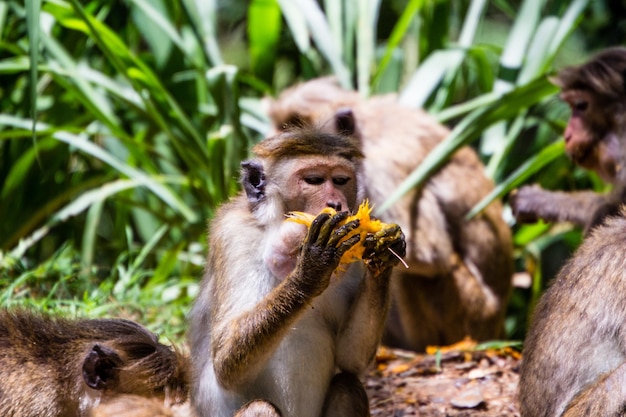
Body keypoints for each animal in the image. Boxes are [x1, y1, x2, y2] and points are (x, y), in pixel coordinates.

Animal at [188, 127, 404, 416]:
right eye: (314, 180)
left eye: (341, 180)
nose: (336, 203)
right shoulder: (233, 235)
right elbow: (225, 360)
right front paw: (311, 270)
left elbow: (351, 358)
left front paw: (383, 251)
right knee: (259, 407)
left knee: (347, 386)